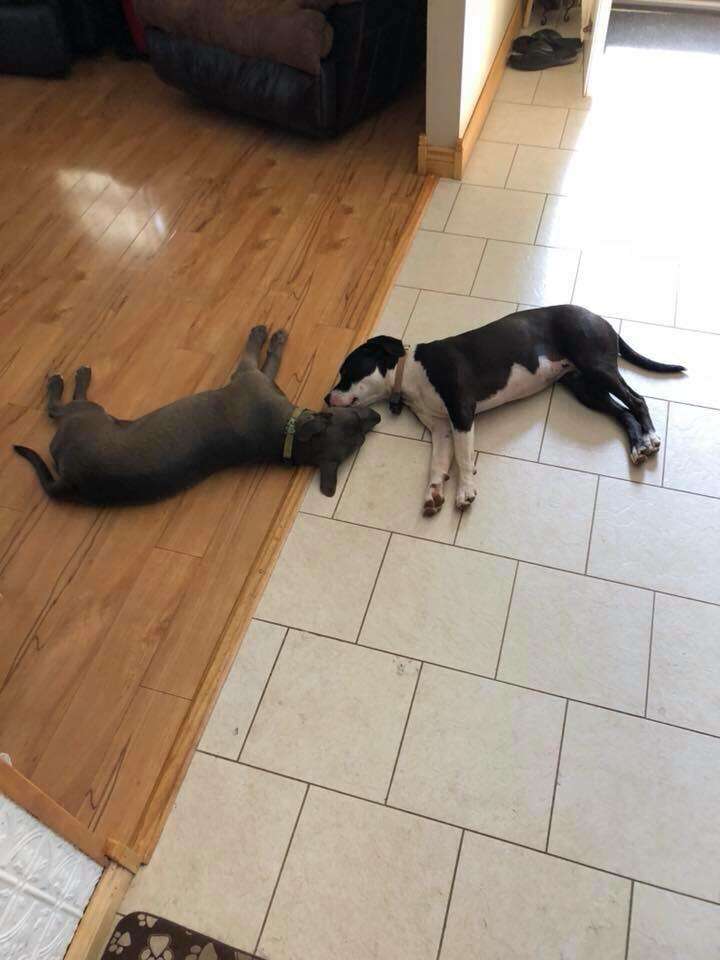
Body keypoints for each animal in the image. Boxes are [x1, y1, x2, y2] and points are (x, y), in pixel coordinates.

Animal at [14, 324, 380, 506]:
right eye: (357, 420)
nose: (376, 418)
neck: (287, 436)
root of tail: (69, 481)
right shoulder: (256, 376)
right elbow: (269, 358)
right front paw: (272, 335)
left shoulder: (247, 374)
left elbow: (258, 351)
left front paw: (266, 333)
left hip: (89, 415)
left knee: (57, 407)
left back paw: (70, 378)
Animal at [326, 308, 688, 516]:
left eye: (345, 373)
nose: (327, 398)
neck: (410, 373)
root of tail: (598, 317)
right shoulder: (441, 429)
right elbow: (438, 464)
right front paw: (433, 493)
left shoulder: (461, 412)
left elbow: (463, 457)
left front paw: (465, 491)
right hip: (585, 388)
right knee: (623, 412)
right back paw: (638, 446)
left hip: (596, 365)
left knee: (637, 400)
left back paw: (650, 438)